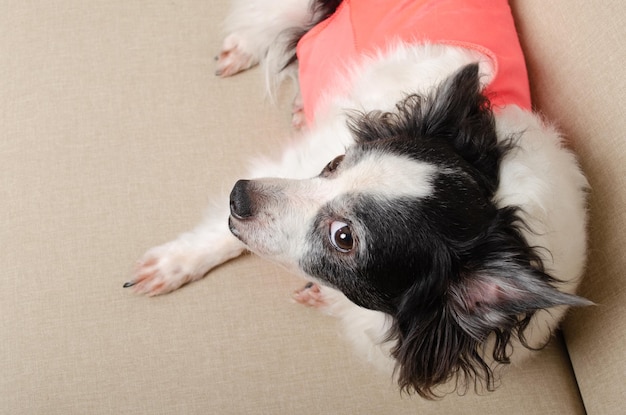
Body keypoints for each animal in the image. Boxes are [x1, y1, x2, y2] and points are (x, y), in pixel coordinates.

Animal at [125, 0, 588, 398]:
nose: (238, 196)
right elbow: (222, 236)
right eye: (333, 163)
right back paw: (245, 49)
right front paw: (173, 265)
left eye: (344, 238)